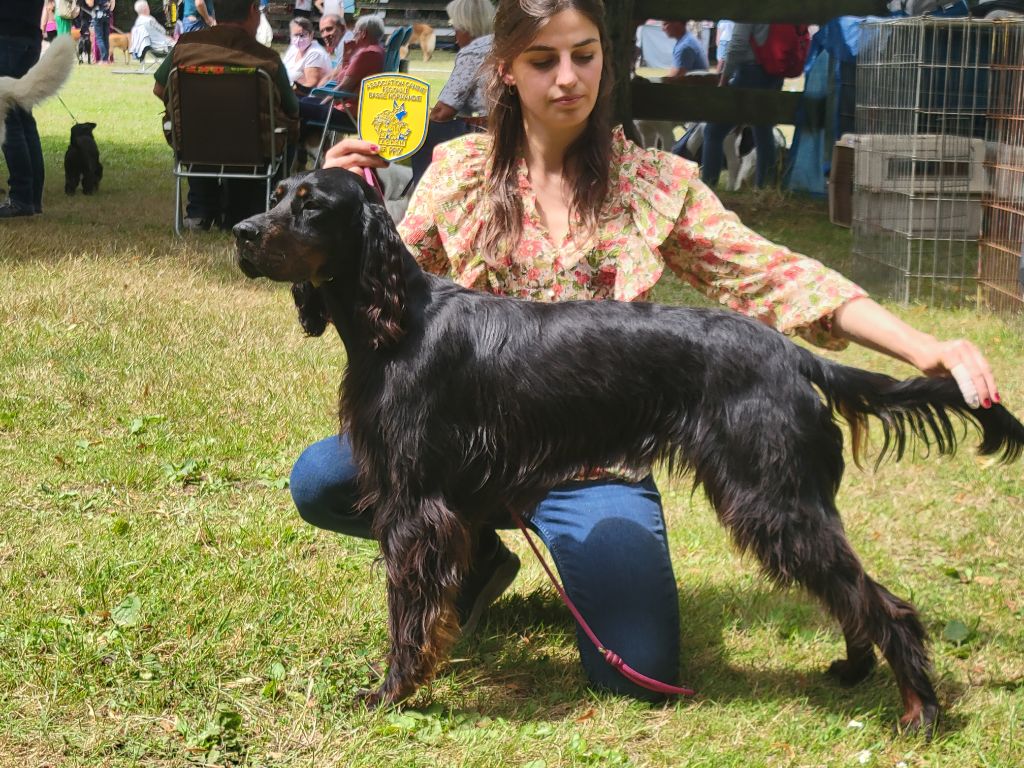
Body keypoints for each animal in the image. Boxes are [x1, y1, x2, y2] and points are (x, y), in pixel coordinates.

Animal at [234, 171, 1024, 737]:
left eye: (311, 205)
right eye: (275, 195)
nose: (242, 232)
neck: (398, 324)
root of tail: (792, 354)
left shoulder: (414, 504)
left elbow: (408, 614)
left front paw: (393, 690)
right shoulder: (433, 499)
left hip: (773, 500)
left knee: (882, 601)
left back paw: (919, 710)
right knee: (854, 593)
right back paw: (858, 671)